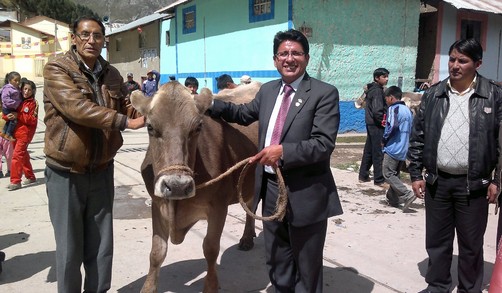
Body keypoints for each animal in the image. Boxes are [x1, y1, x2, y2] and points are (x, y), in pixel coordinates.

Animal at [129, 80, 260, 292]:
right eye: (149, 127)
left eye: (198, 127)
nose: (177, 186)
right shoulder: (157, 204)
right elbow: (157, 252)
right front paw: (147, 288)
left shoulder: (218, 206)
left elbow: (211, 248)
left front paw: (211, 286)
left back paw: (247, 238)